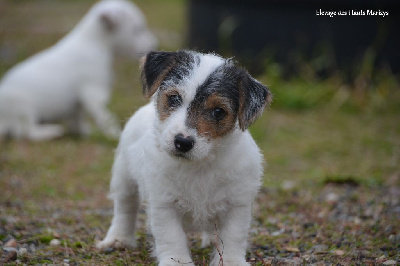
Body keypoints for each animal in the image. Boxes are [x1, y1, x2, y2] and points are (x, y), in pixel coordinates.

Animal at [0, 0, 158, 141]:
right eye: (138, 29)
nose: (153, 44)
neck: (93, 42)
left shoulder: (78, 103)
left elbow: (77, 119)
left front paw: (84, 131)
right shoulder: (94, 94)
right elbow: (105, 117)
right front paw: (114, 134)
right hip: (23, 108)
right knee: (25, 132)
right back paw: (50, 132)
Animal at [97, 50, 272, 266]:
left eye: (218, 111)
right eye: (174, 98)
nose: (182, 142)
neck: (200, 165)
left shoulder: (237, 205)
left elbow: (233, 236)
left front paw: (231, 261)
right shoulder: (164, 204)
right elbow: (171, 236)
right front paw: (177, 261)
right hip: (124, 179)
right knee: (125, 209)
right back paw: (117, 239)